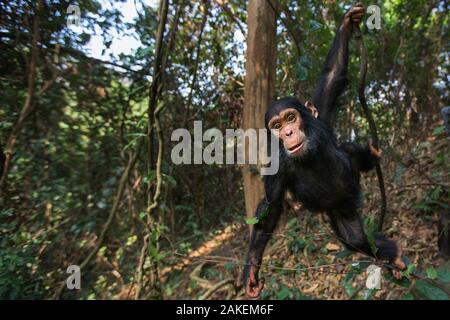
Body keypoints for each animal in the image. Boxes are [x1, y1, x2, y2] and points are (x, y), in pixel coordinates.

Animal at [244, 2, 406, 298]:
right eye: (276, 125)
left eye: (291, 118)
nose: (287, 133)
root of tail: (353, 198)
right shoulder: (275, 166)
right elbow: (270, 208)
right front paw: (251, 269)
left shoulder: (321, 116)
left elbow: (333, 76)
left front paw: (346, 24)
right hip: (340, 211)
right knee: (357, 238)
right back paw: (392, 254)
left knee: (351, 153)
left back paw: (369, 156)